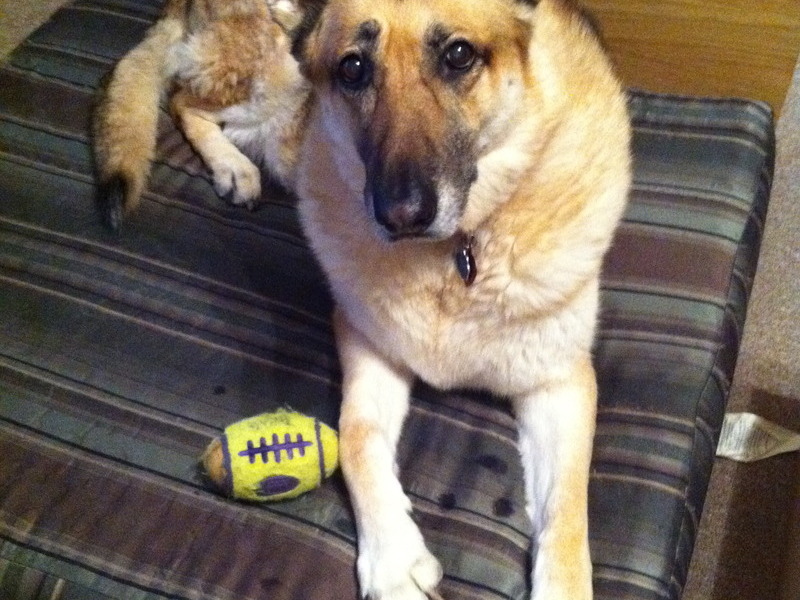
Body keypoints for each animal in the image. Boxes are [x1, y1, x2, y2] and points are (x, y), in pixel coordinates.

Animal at [94, 1, 632, 596]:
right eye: (352, 69)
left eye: (458, 55)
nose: (400, 215)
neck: (456, 254)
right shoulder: (367, 348)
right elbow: (354, 435)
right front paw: (393, 559)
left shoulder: (562, 384)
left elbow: (567, 511)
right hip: (271, 86)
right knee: (183, 100)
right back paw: (234, 166)